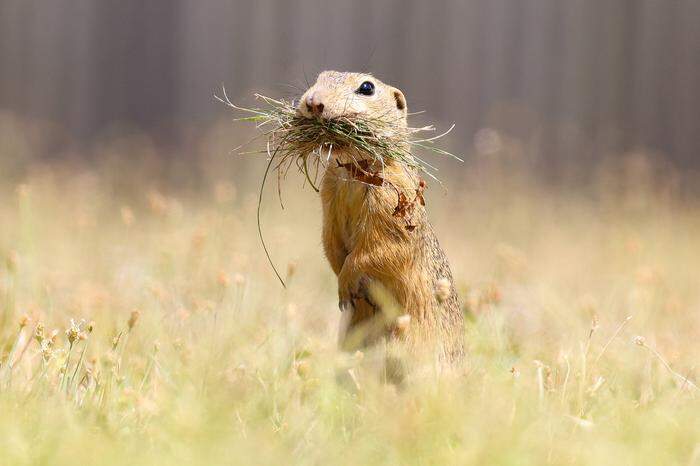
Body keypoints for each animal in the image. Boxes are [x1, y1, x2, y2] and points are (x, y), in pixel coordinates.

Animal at [296, 71, 464, 370]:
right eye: (319, 77)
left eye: (367, 87)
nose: (313, 102)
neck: (353, 172)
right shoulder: (329, 196)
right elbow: (330, 242)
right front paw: (343, 286)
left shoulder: (391, 205)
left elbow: (379, 249)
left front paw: (346, 285)